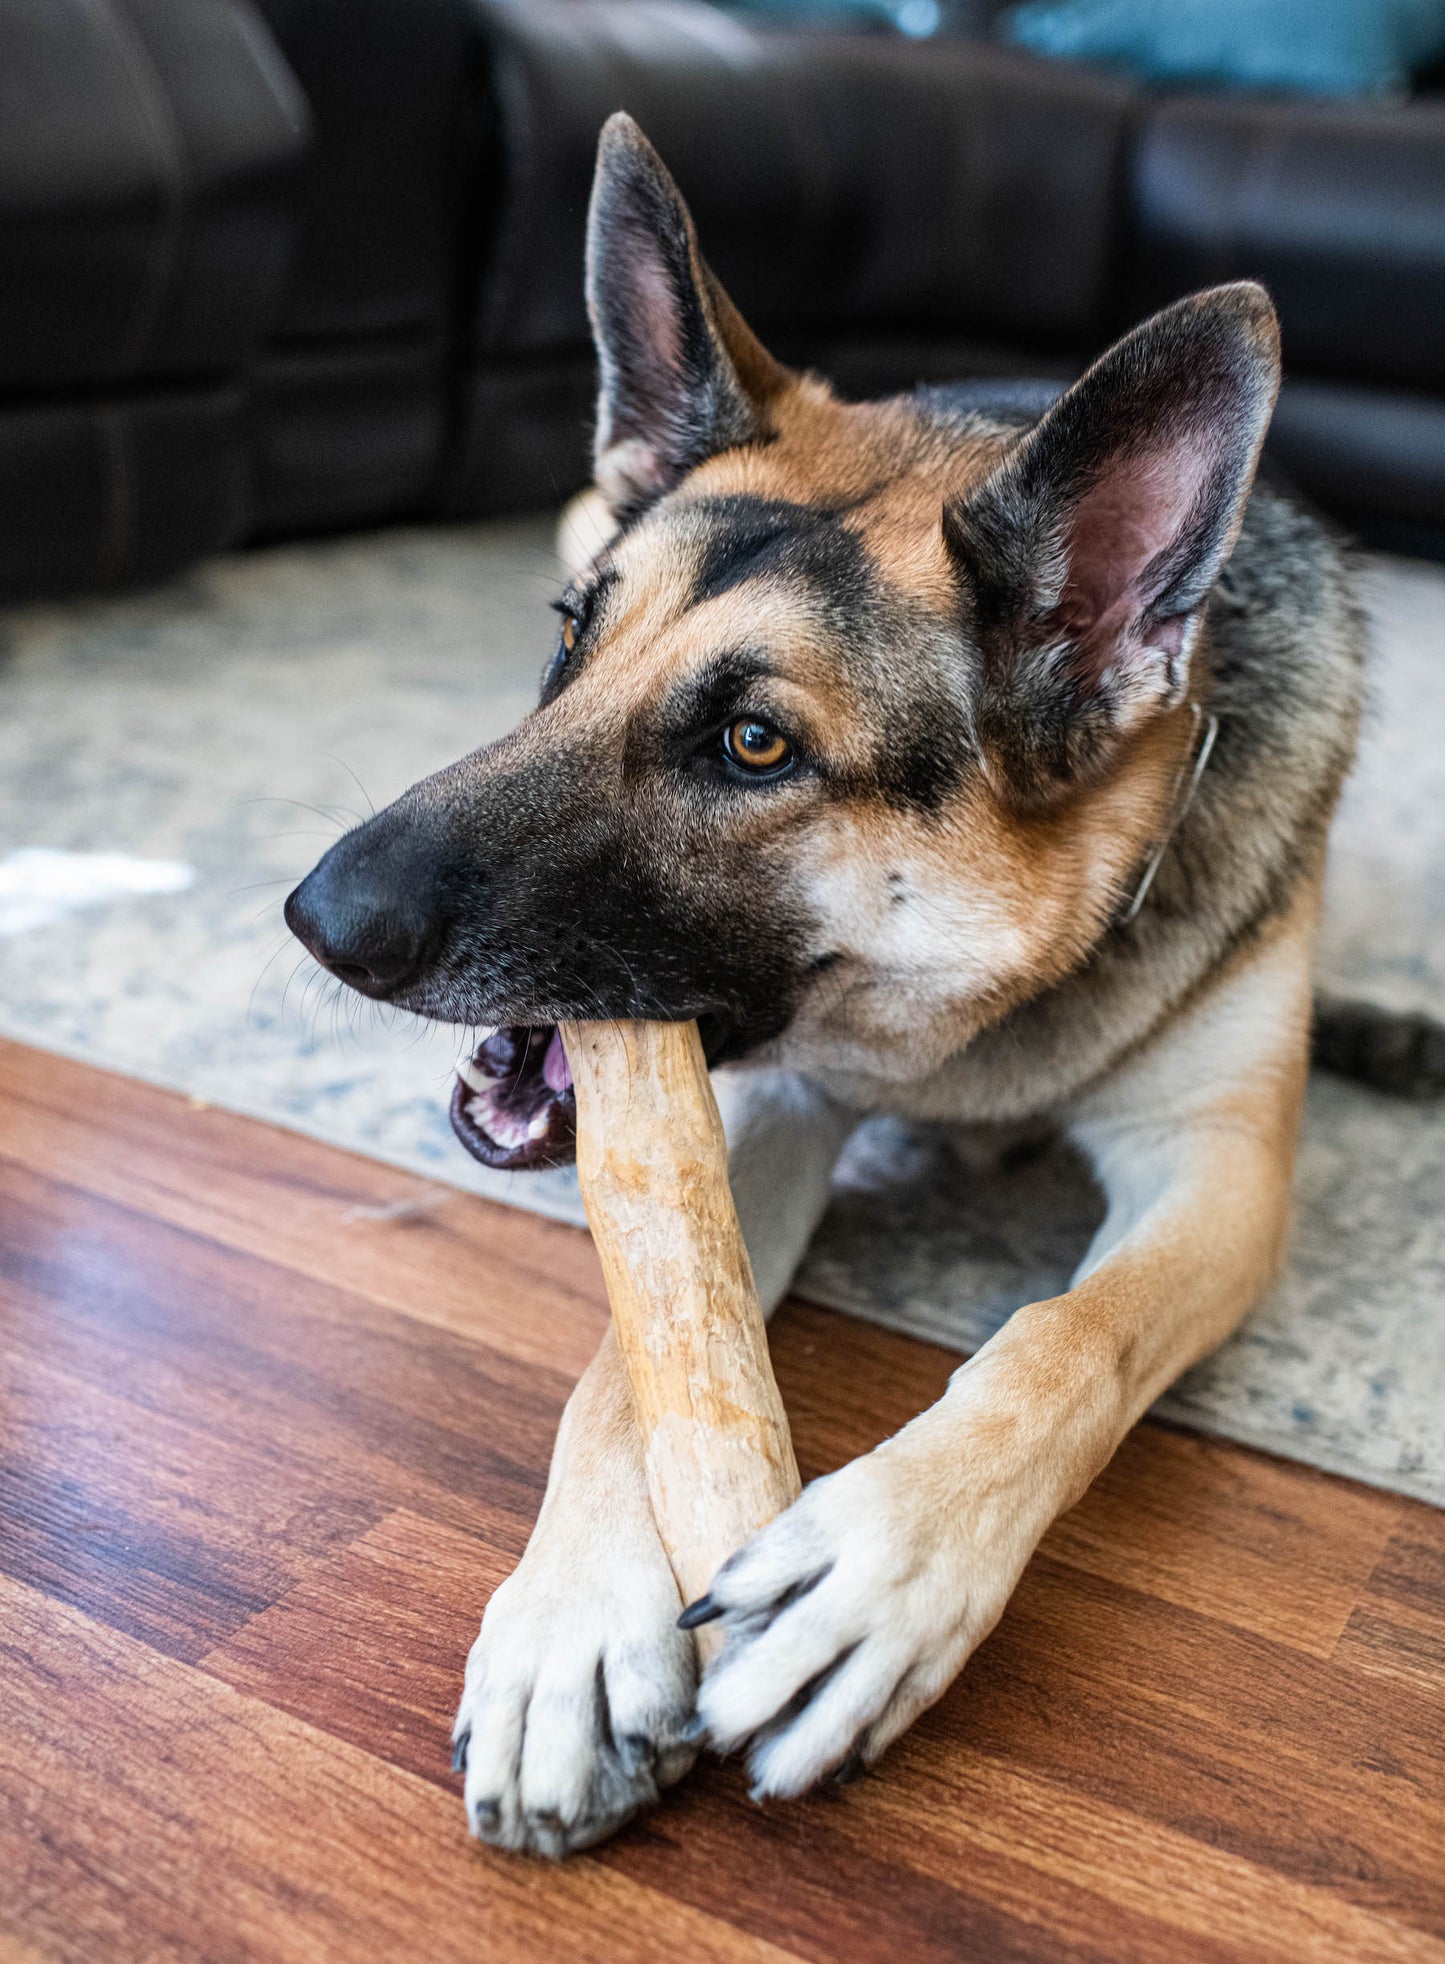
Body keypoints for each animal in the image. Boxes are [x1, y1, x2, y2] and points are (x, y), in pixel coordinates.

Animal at [288, 114, 1374, 1846]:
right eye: (571, 644)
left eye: (753, 744)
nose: (317, 920)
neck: (977, 1035)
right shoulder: (767, 1117)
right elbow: (633, 1358)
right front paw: (573, 1619)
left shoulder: (1220, 1173)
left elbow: (1065, 1333)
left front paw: (878, 1562)